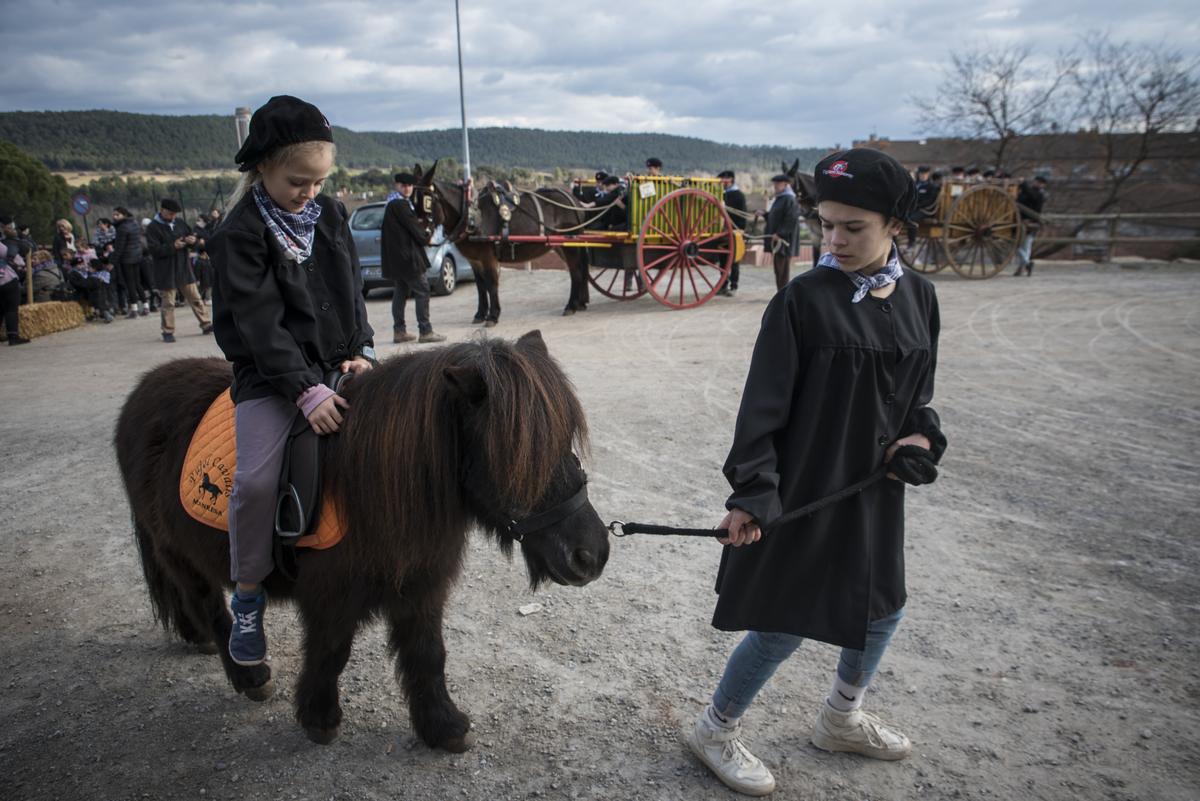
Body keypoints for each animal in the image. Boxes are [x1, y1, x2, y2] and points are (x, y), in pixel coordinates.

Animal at [114, 330, 609, 753]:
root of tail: (141, 392)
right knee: (210, 606)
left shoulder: (422, 585)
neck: (370, 481)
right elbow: (332, 651)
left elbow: (428, 654)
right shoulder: (331, 595)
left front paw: (442, 726)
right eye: (516, 455)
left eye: (565, 440)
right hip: (178, 551)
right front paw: (320, 718)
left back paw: (197, 640)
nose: (592, 554)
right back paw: (248, 674)